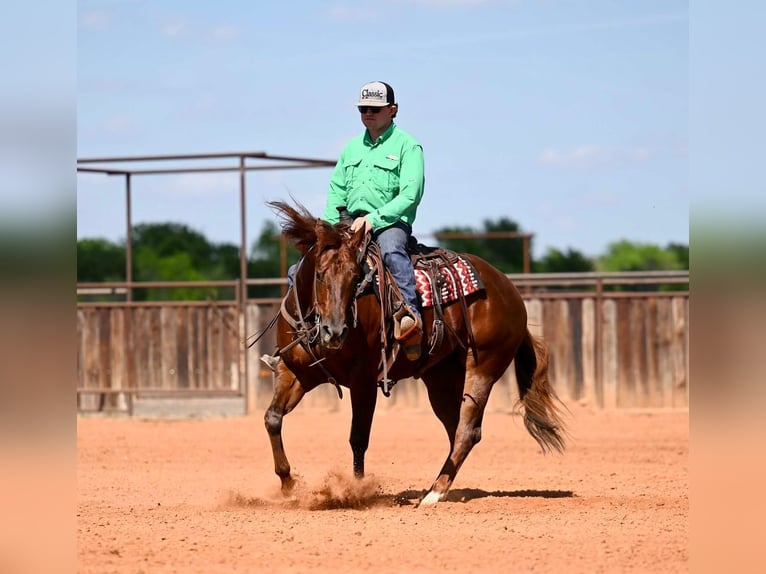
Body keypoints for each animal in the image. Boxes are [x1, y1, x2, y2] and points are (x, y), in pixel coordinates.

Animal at [263, 201, 566, 506]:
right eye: (320, 275)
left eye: (356, 278)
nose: (334, 332)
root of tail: (509, 291)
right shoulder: (296, 372)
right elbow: (272, 418)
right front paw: (288, 485)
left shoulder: (363, 380)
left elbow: (358, 438)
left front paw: (356, 492)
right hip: (442, 378)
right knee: (456, 428)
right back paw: (441, 488)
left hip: (484, 368)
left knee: (467, 430)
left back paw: (434, 493)